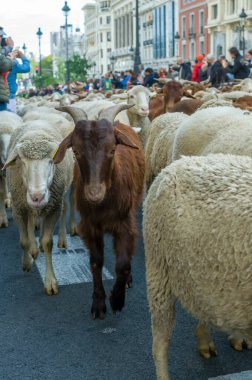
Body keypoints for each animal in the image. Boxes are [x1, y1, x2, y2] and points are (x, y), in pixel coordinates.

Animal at [4, 114, 74, 296]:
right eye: (21, 160)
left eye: (51, 161)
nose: (38, 196)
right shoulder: (19, 208)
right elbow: (24, 241)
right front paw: (27, 262)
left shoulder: (53, 208)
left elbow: (47, 242)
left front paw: (50, 281)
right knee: (30, 224)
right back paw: (33, 250)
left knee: (64, 210)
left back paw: (60, 239)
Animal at [53, 105, 144, 320]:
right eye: (76, 151)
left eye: (112, 149)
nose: (94, 193)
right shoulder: (90, 226)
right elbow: (96, 262)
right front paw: (99, 304)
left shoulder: (125, 224)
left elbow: (123, 264)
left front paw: (117, 301)